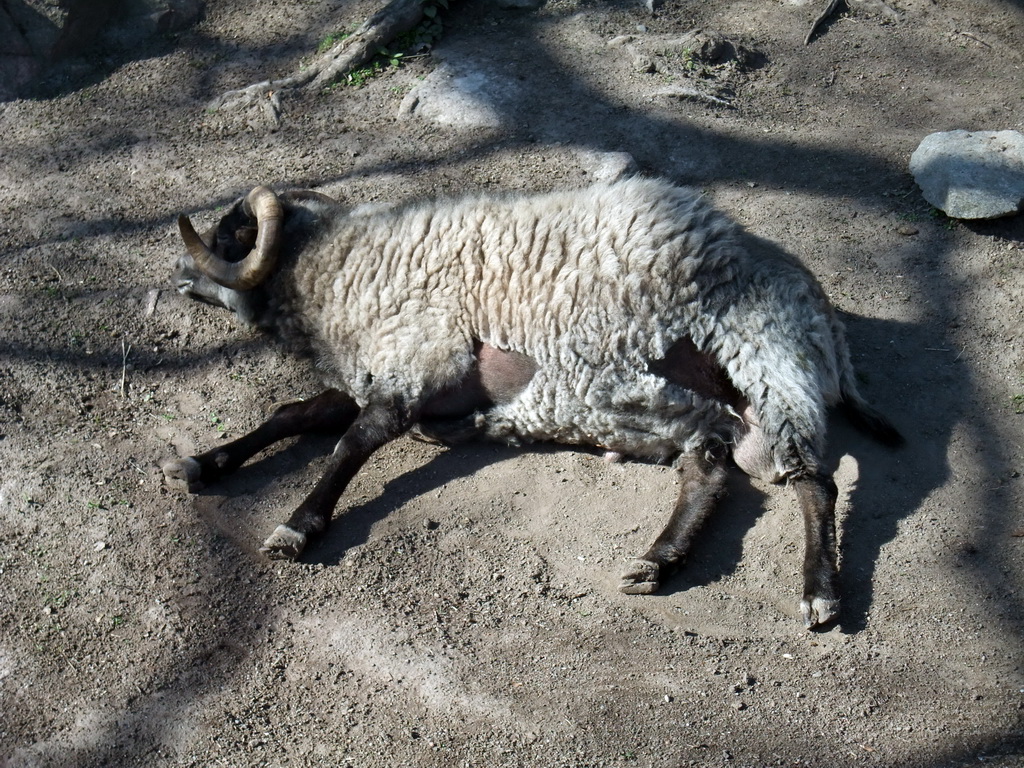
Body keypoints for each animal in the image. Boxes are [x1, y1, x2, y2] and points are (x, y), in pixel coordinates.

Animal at [161, 177, 905, 626]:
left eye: (227, 237)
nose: (178, 279)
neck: (335, 267)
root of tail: (819, 305)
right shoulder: (379, 370)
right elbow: (294, 415)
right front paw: (200, 464)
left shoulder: (421, 355)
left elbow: (356, 441)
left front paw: (298, 524)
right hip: (680, 409)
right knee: (713, 469)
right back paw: (658, 559)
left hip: (770, 364)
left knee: (815, 483)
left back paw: (818, 592)